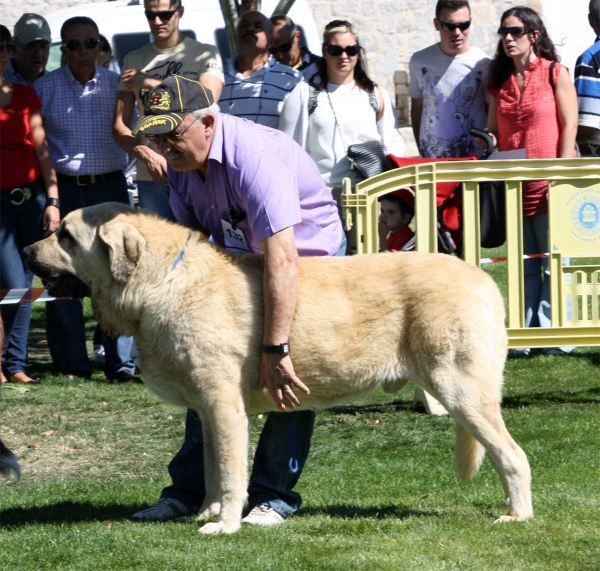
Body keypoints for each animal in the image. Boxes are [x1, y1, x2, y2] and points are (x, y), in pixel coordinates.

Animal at [23, 204, 532, 536]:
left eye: (65, 236)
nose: (26, 251)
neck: (162, 281)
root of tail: (484, 278)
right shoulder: (208, 412)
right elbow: (211, 468)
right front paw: (205, 511)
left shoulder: (224, 406)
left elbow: (232, 474)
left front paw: (225, 526)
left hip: (461, 390)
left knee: (513, 455)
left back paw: (517, 515)